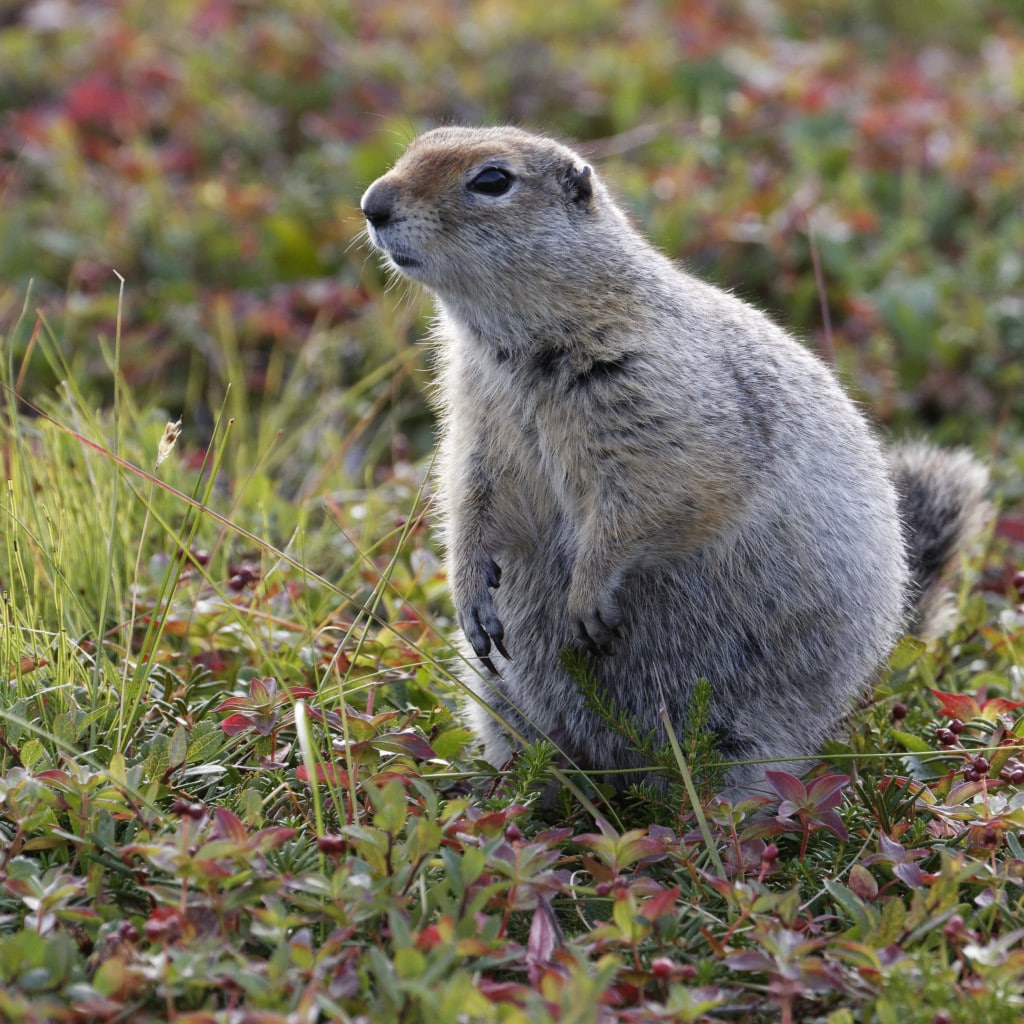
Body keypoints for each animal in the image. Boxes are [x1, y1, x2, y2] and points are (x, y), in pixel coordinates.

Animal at [362, 128, 991, 794]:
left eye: (492, 180)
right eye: (417, 145)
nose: (373, 204)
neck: (511, 352)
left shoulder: (656, 398)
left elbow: (660, 493)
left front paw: (588, 595)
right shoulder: (478, 417)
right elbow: (470, 494)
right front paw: (469, 594)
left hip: (749, 728)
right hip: (501, 699)